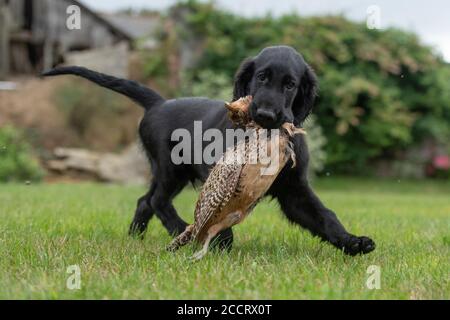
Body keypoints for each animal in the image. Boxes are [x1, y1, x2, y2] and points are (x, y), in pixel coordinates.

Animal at [44, 44, 376, 255]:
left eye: (290, 84)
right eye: (261, 77)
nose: (266, 115)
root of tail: (158, 103)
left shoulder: (294, 191)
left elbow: (324, 216)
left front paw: (352, 242)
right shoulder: (218, 172)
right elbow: (218, 208)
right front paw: (221, 240)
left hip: (165, 171)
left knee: (144, 200)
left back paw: (135, 236)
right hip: (170, 168)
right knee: (157, 200)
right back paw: (180, 229)